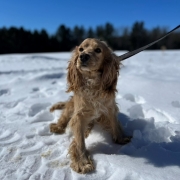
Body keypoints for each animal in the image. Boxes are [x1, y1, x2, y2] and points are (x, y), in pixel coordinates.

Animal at [50, 38, 130, 174]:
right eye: (81, 49)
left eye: (98, 50)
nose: (82, 56)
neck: (92, 83)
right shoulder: (79, 116)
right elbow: (79, 142)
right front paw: (82, 162)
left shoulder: (110, 107)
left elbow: (114, 123)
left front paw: (120, 138)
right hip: (71, 106)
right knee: (64, 117)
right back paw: (58, 127)